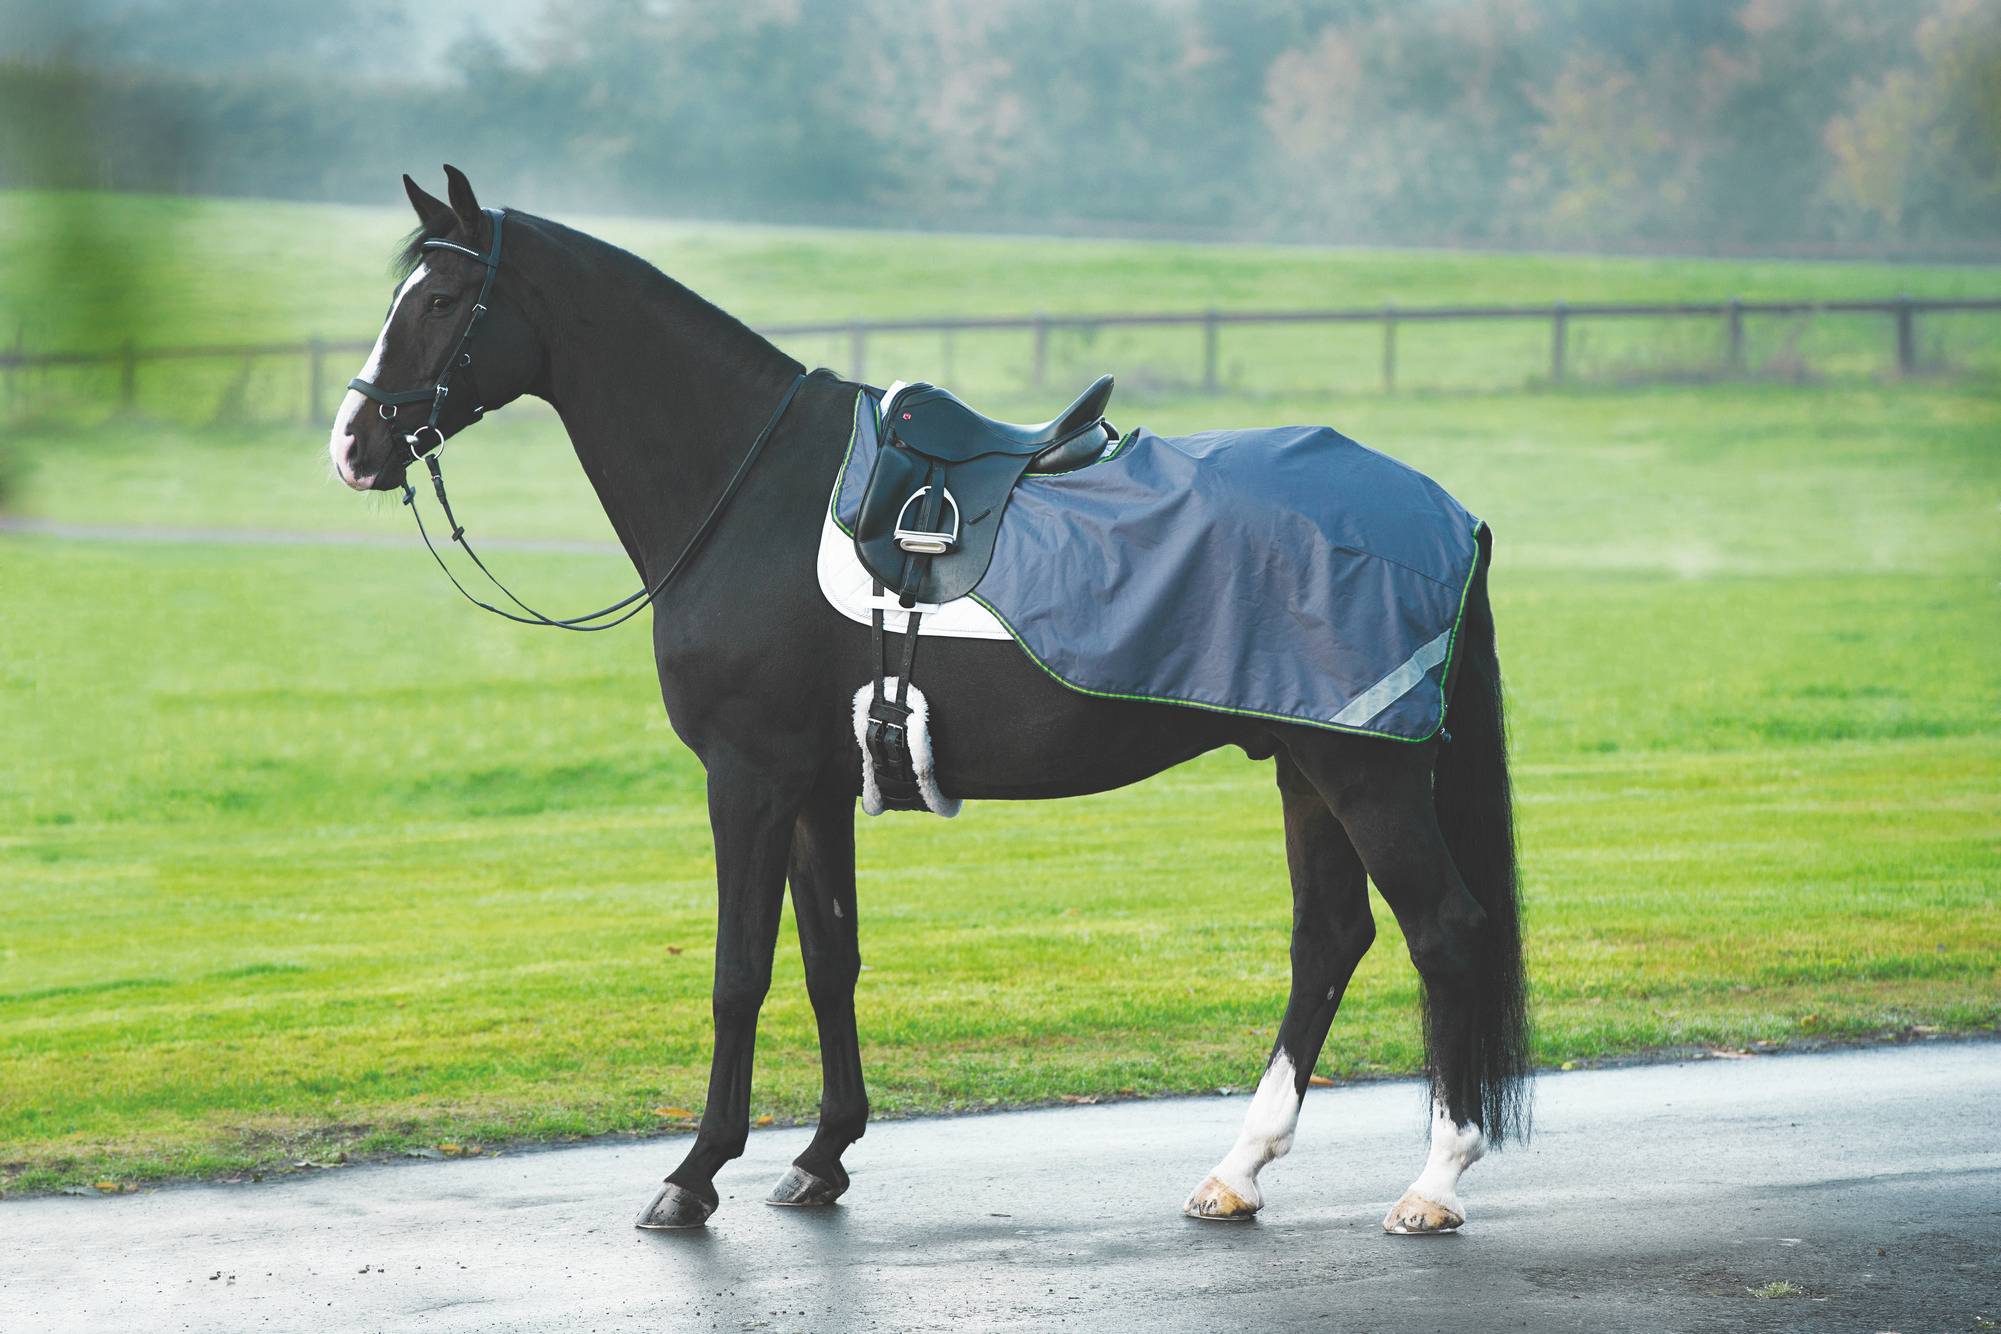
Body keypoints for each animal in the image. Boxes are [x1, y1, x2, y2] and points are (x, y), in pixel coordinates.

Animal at [328, 167, 1531, 1235]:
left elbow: (738, 973)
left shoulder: (747, 780)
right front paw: (821, 1155)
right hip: (1305, 763)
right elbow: (830, 961)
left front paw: (695, 1172)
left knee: (1446, 931)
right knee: (1328, 939)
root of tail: (1446, 511)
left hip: (1365, 773)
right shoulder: (815, 786)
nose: (353, 444)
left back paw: (1435, 1183)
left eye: (441, 301)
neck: (749, 489)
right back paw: (1237, 1170)